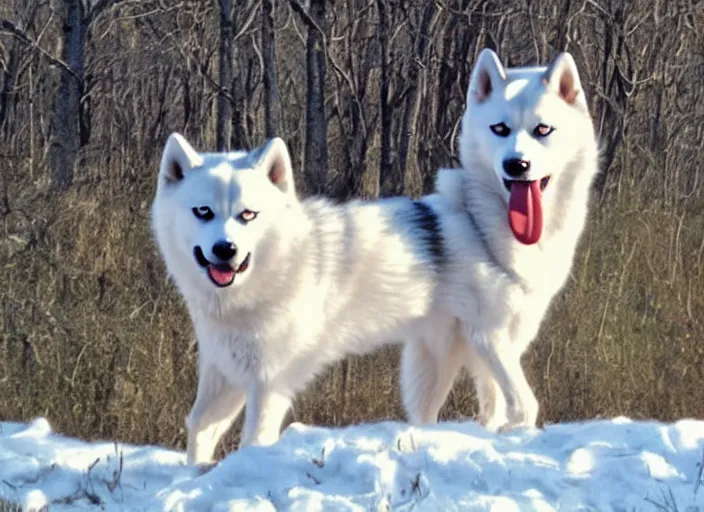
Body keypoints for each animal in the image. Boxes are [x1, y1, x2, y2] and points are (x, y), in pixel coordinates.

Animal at [151, 131, 460, 464]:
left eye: (247, 215)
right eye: (204, 212)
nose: (225, 249)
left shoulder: (268, 383)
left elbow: (253, 441)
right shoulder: (223, 373)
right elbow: (199, 429)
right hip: (427, 370)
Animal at [402, 49, 600, 432]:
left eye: (542, 130)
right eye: (500, 129)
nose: (516, 164)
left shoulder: (512, 336)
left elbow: (495, 407)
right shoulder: (487, 335)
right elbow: (524, 404)